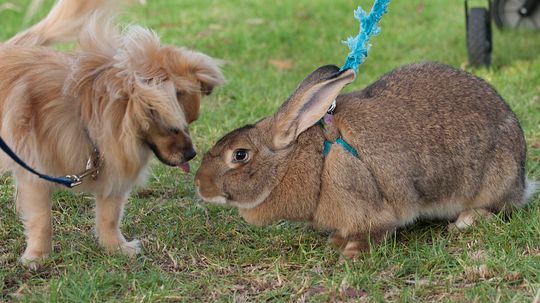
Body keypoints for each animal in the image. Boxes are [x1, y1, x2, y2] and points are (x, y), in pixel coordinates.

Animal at [0, 0, 224, 268]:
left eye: (190, 123)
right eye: (173, 128)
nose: (191, 154)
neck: (87, 115)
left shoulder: (113, 170)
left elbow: (109, 216)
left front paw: (115, 248)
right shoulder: (35, 173)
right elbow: (42, 219)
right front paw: (38, 256)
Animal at [194, 63, 536, 258]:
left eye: (240, 154)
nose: (199, 184)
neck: (313, 159)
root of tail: (521, 179)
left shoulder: (364, 201)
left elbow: (376, 231)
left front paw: (351, 253)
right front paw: (335, 241)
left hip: (492, 181)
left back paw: (467, 220)